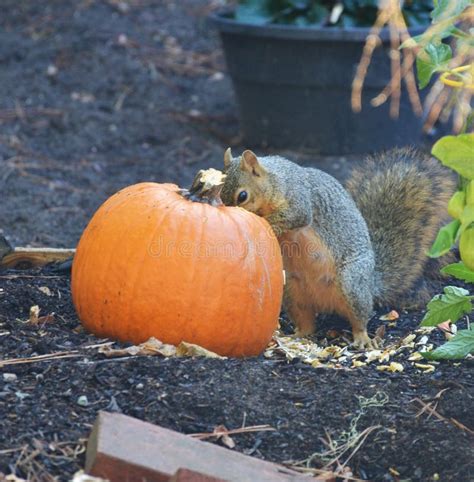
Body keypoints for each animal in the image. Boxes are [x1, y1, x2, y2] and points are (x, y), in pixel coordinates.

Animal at [220, 149, 458, 348]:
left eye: (242, 196)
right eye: (221, 193)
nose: (227, 211)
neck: (275, 178)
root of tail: (371, 284)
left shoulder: (299, 196)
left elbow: (296, 216)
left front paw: (263, 222)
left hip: (352, 283)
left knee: (360, 318)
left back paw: (362, 338)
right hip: (292, 292)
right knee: (307, 323)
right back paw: (297, 335)